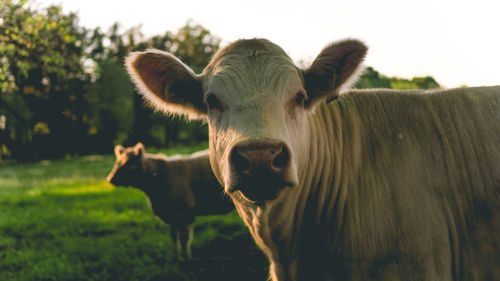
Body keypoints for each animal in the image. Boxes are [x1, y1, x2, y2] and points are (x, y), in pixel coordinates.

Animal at [106, 142, 234, 258]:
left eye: (129, 164)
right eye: (117, 162)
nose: (110, 179)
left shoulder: (185, 213)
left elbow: (184, 238)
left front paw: (186, 257)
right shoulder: (173, 217)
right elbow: (174, 237)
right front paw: (175, 256)